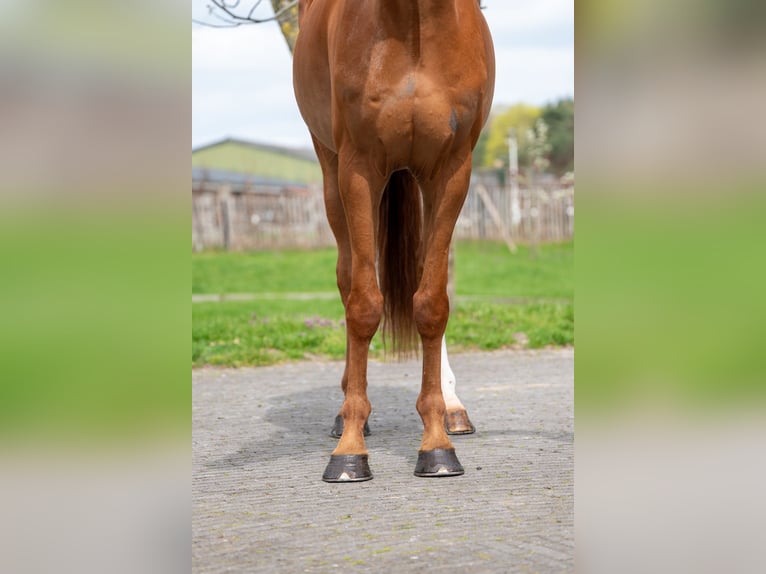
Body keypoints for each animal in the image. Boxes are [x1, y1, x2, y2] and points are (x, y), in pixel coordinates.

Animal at [293, 0, 495, 482]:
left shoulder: (451, 171)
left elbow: (432, 303)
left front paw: (437, 445)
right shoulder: (359, 168)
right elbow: (365, 305)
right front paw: (350, 450)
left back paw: (452, 409)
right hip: (332, 173)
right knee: (348, 277)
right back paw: (347, 413)